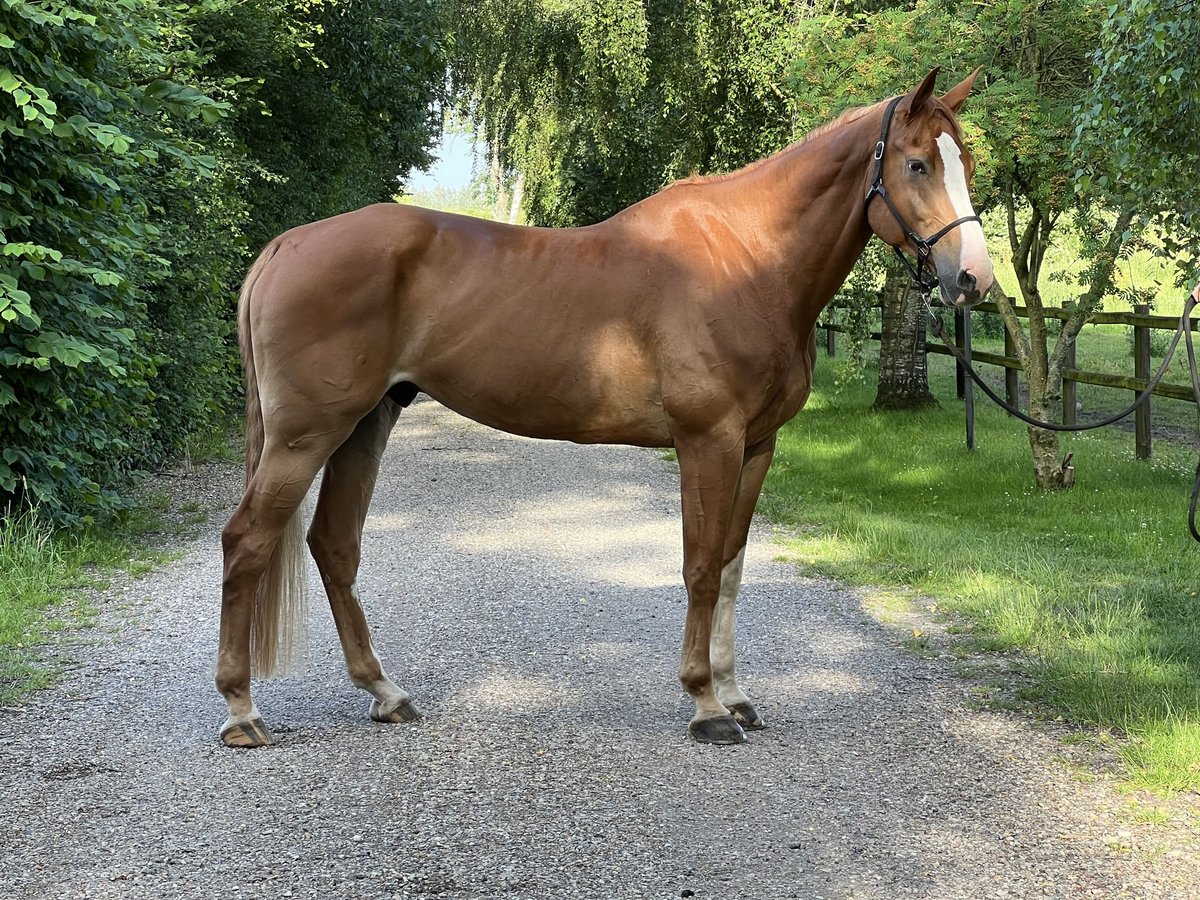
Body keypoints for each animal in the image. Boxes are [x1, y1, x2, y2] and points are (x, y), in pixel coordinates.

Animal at [216, 66, 993, 748]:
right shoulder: (707, 441)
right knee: (248, 541)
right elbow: (700, 566)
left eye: (967, 162)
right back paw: (242, 711)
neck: (747, 263)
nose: (973, 280)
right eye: (918, 164)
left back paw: (385, 693)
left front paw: (736, 695)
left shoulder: (756, 446)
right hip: (306, 435)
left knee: (333, 544)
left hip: (365, 424)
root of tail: (288, 245)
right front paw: (706, 706)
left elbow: (733, 567)